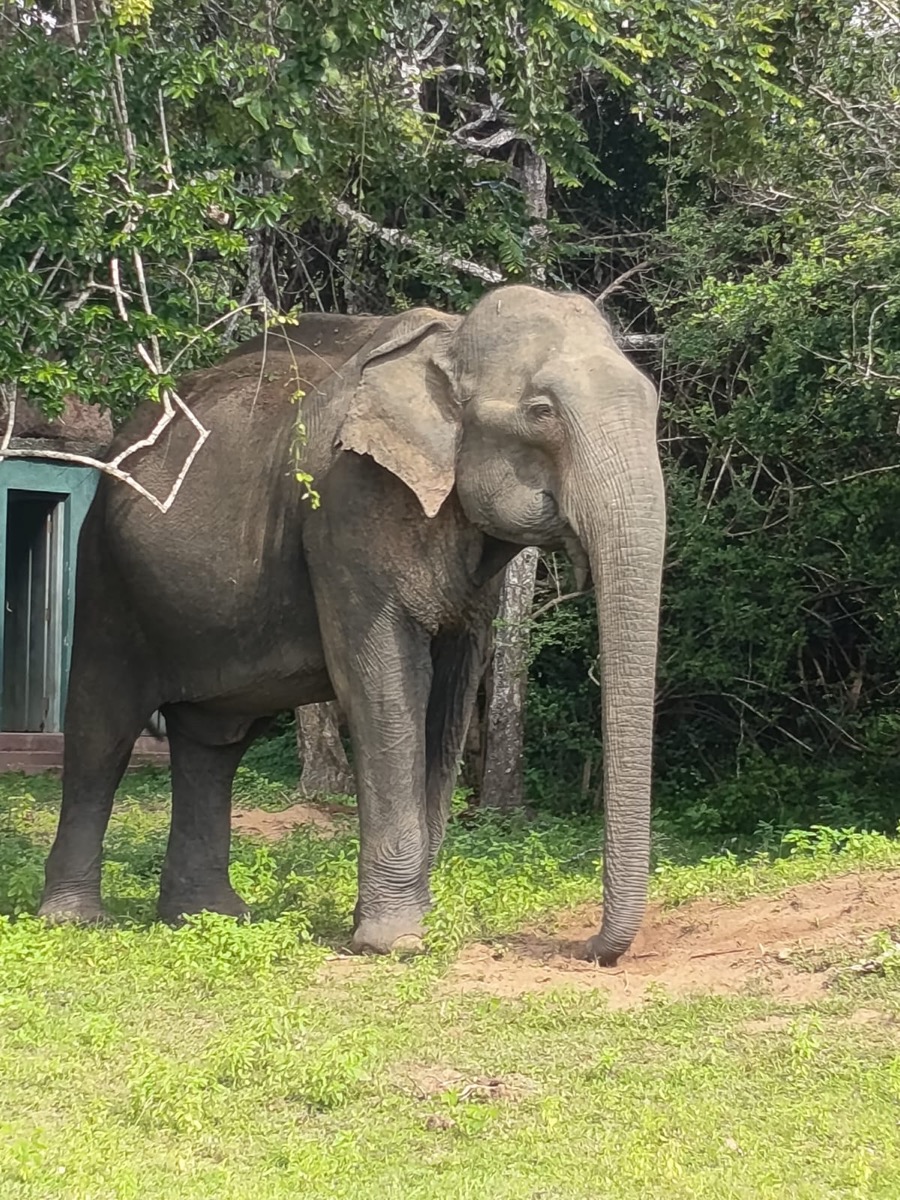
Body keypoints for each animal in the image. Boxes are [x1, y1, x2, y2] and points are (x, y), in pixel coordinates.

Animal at [37, 284, 666, 966]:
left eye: (653, 404)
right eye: (542, 411)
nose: (589, 949)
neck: (450, 337)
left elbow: (452, 687)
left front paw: (414, 920)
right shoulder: (346, 506)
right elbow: (382, 680)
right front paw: (396, 942)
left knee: (214, 743)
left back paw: (211, 917)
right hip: (105, 570)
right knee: (103, 725)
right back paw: (75, 921)